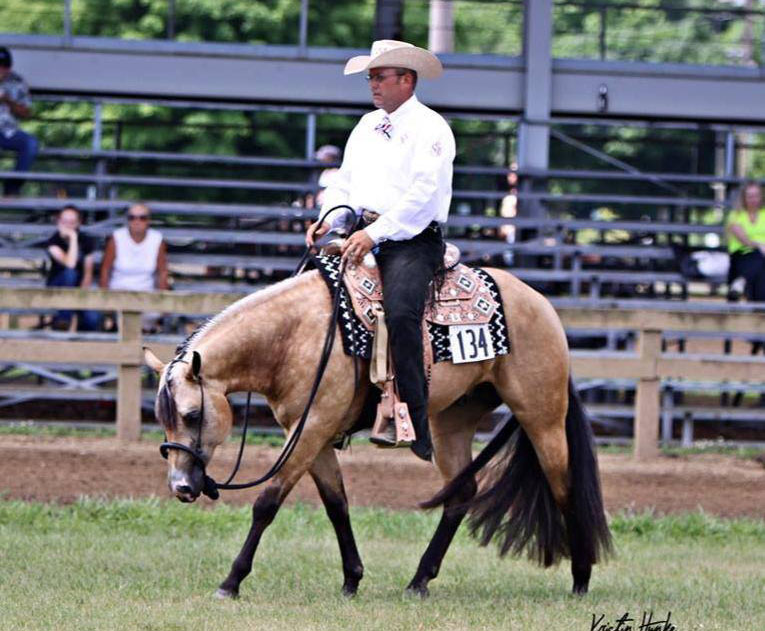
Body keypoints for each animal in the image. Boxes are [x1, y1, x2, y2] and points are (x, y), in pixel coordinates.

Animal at [142, 264, 608, 600]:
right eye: (163, 419)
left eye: (192, 415)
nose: (182, 486)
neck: (292, 336)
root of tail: (542, 305)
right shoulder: (313, 433)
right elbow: (337, 505)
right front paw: (352, 579)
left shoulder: (310, 430)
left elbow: (266, 504)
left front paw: (231, 582)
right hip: (452, 421)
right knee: (461, 493)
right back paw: (419, 580)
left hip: (542, 416)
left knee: (564, 485)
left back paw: (581, 579)